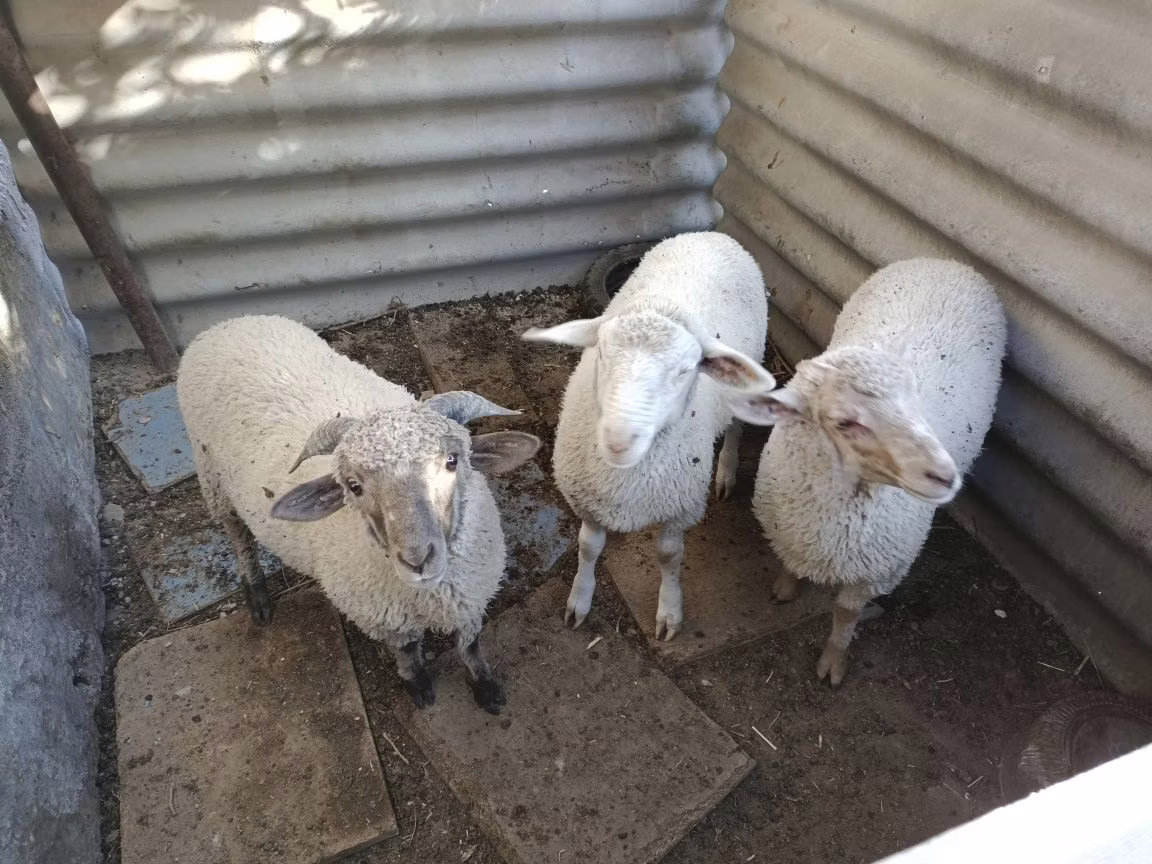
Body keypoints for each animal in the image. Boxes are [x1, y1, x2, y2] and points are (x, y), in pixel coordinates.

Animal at [176, 315, 540, 714]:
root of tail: (228, 323)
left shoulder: (472, 598)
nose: (417, 560)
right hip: (212, 477)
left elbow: (471, 644)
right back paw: (257, 597)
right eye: (353, 486)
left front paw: (485, 687)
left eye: (452, 461)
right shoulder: (383, 618)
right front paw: (418, 686)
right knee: (238, 535)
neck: (431, 597)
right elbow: (408, 650)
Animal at [522, 231, 775, 640]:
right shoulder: (589, 501)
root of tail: (712, 234)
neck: (624, 481)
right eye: (602, 352)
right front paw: (580, 598)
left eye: (686, 370)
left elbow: (670, 557)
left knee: (735, 427)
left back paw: (727, 471)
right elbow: (588, 547)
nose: (619, 438)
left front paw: (669, 611)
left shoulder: (677, 509)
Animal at [725, 259, 1007, 685]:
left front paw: (833, 662)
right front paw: (786, 589)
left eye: (914, 397)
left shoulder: (876, 571)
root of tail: (945, 262)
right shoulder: (789, 531)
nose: (945, 475)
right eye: (845, 422)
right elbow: (789, 564)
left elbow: (846, 614)